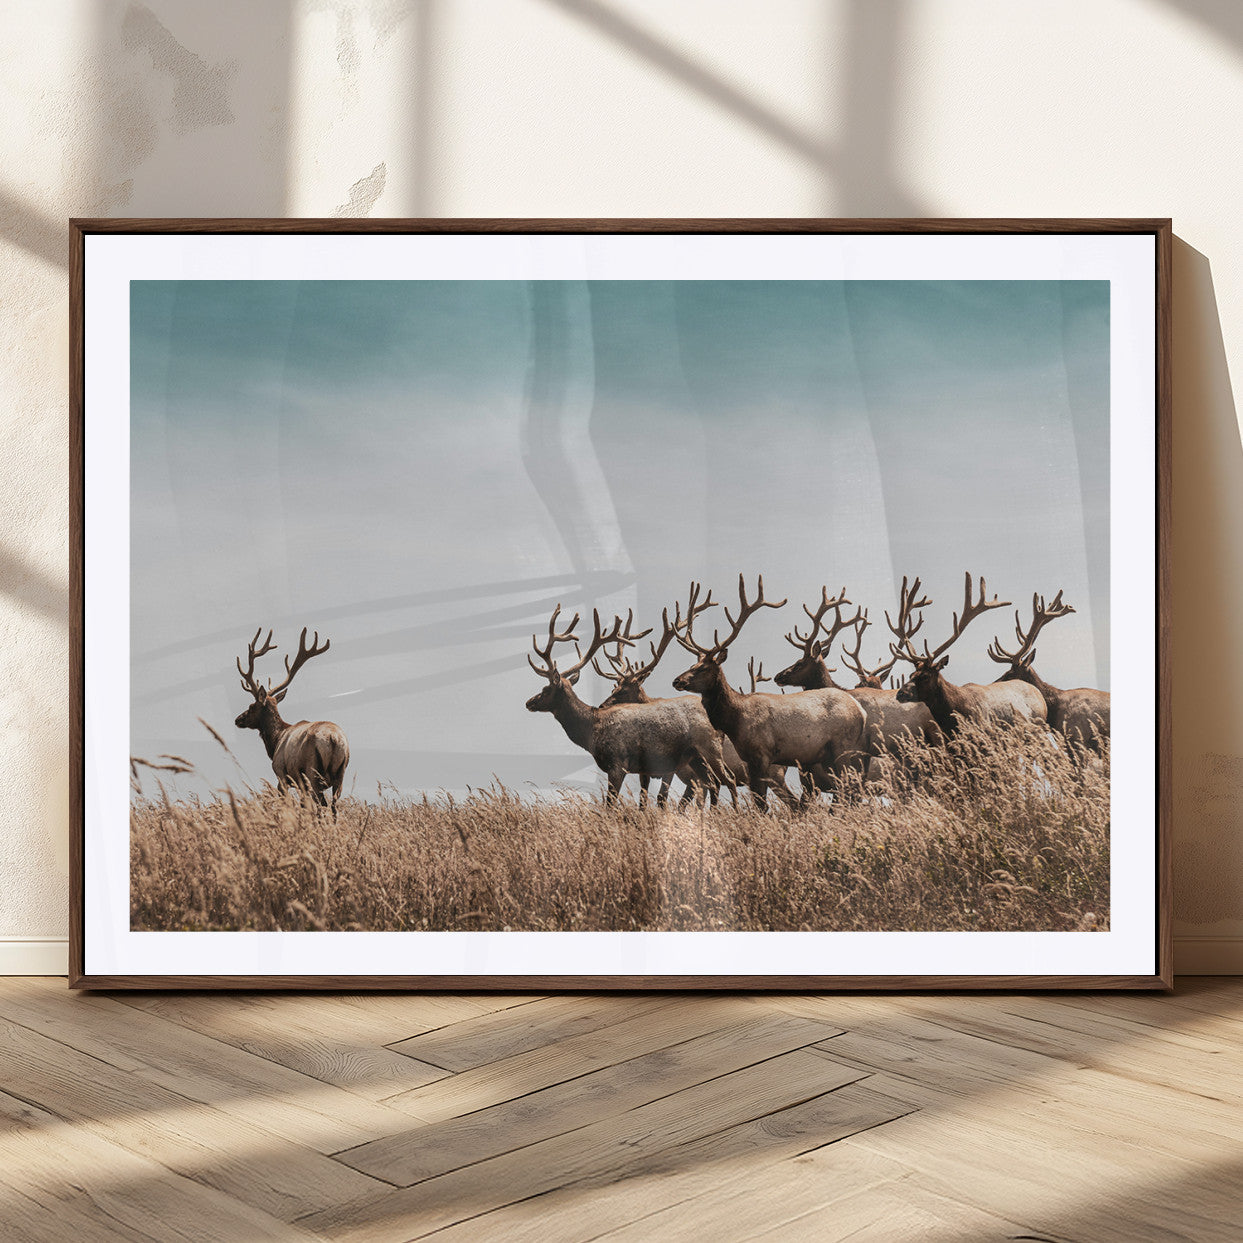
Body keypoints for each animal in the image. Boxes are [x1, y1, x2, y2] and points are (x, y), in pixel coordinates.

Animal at [234, 627, 350, 812]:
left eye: (252, 706)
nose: (238, 719)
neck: (275, 741)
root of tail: (333, 739)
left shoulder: (281, 773)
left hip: (312, 771)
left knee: (320, 805)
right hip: (341, 773)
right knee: (333, 807)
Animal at [525, 606, 732, 806]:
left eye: (546, 689)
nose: (529, 702)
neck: (591, 731)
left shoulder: (618, 764)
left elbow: (610, 804)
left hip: (709, 747)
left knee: (723, 780)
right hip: (695, 757)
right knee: (713, 783)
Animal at [671, 575, 867, 810]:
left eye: (703, 668)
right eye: (692, 664)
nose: (677, 680)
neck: (735, 720)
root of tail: (861, 712)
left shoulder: (762, 755)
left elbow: (761, 804)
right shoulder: (749, 760)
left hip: (843, 745)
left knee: (849, 786)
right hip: (829, 755)